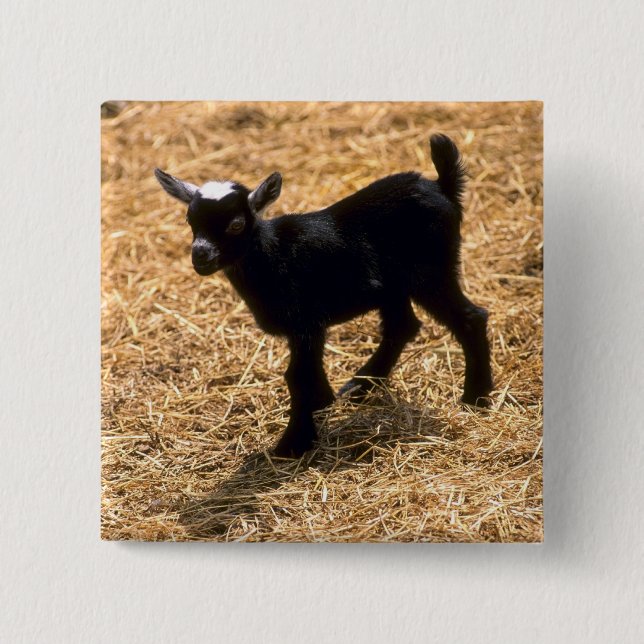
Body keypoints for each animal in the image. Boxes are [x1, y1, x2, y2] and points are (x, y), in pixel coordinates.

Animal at [154, 134, 493, 457]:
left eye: (236, 225)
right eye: (190, 221)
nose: (201, 256)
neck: (273, 254)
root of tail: (442, 185)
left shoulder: (306, 321)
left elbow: (298, 377)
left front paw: (294, 443)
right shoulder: (307, 329)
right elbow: (306, 375)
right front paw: (322, 405)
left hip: (432, 271)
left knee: (470, 318)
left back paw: (476, 397)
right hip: (394, 285)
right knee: (402, 326)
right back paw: (360, 386)